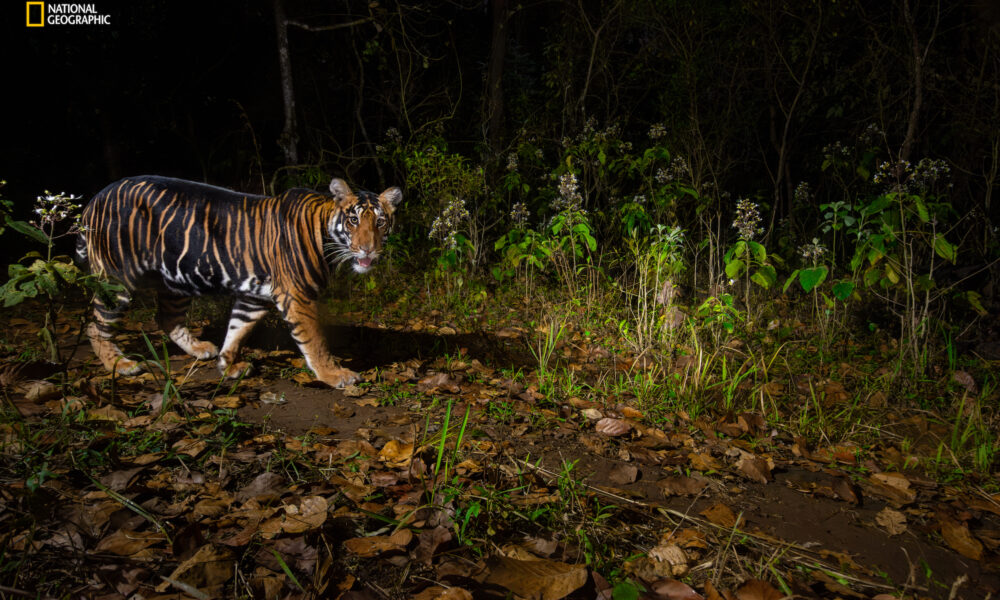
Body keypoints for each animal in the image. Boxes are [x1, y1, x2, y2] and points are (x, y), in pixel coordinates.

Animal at [77, 175, 402, 390]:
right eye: (353, 221)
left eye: (380, 222)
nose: (368, 249)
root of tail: (95, 198)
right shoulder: (297, 296)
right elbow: (315, 341)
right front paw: (335, 375)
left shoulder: (254, 297)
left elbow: (237, 330)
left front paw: (227, 365)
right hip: (117, 278)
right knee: (96, 325)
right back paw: (121, 365)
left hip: (177, 278)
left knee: (167, 317)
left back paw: (200, 348)